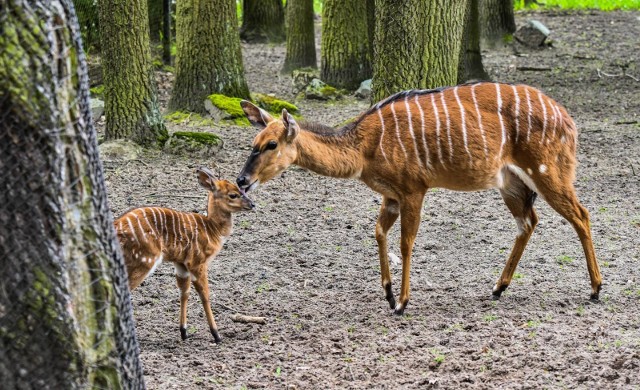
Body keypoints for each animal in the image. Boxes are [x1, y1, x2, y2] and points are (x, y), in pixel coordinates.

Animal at [115, 168, 255, 342]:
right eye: (233, 195)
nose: (252, 204)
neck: (212, 230)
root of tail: (116, 227)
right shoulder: (197, 262)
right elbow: (205, 295)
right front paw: (216, 334)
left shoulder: (181, 264)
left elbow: (184, 293)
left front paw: (184, 332)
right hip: (144, 260)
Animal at [235, 81, 600, 314]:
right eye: (253, 141)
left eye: (271, 144)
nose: (242, 180)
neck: (364, 149)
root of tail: (567, 119)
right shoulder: (391, 195)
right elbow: (378, 232)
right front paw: (386, 293)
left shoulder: (414, 188)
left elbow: (406, 242)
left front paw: (402, 303)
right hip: (510, 182)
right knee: (529, 221)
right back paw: (498, 288)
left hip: (548, 171)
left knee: (581, 214)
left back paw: (596, 289)